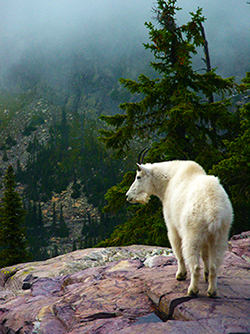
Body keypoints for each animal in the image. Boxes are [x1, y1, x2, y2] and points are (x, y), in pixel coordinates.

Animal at [126, 150, 233, 296]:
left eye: (138, 177)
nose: (128, 196)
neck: (168, 181)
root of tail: (213, 211)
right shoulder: (208, 237)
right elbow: (205, 255)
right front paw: (205, 275)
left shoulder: (172, 226)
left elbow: (177, 250)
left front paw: (180, 274)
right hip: (220, 233)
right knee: (215, 265)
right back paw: (212, 291)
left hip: (192, 233)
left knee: (194, 264)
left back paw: (192, 290)